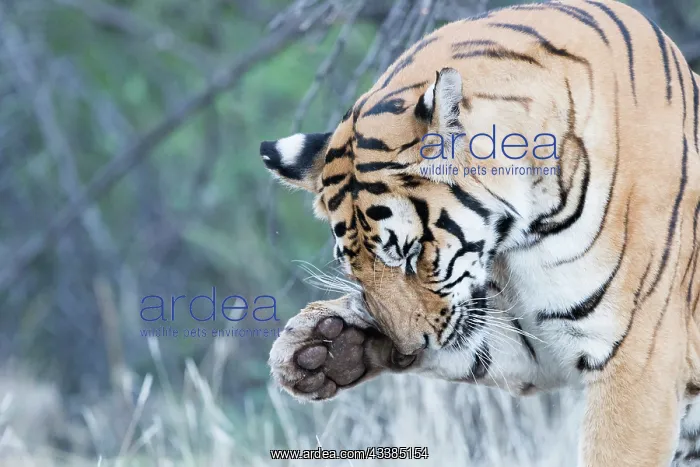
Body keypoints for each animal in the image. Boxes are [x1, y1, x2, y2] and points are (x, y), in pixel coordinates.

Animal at [259, 1, 700, 465]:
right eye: (353, 272)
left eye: (412, 253)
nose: (410, 349)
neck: (523, 235)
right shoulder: (540, 341)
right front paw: (323, 346)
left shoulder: (637, 357)